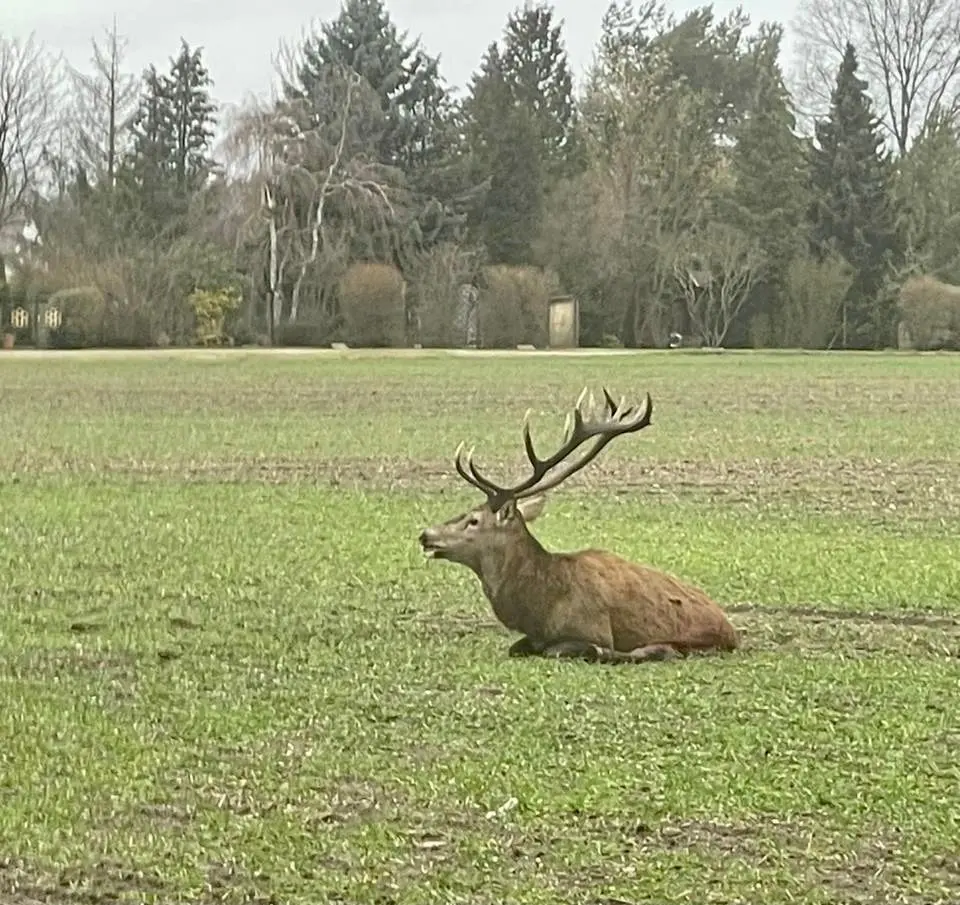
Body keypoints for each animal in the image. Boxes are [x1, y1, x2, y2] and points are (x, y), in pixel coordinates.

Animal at [418, 387, 740, 664]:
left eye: (473, 520)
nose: (425, 534)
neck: (540, 608)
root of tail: (731, 632)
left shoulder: (592, 627)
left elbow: (562, 649)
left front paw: (601, 652)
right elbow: (516, 647)